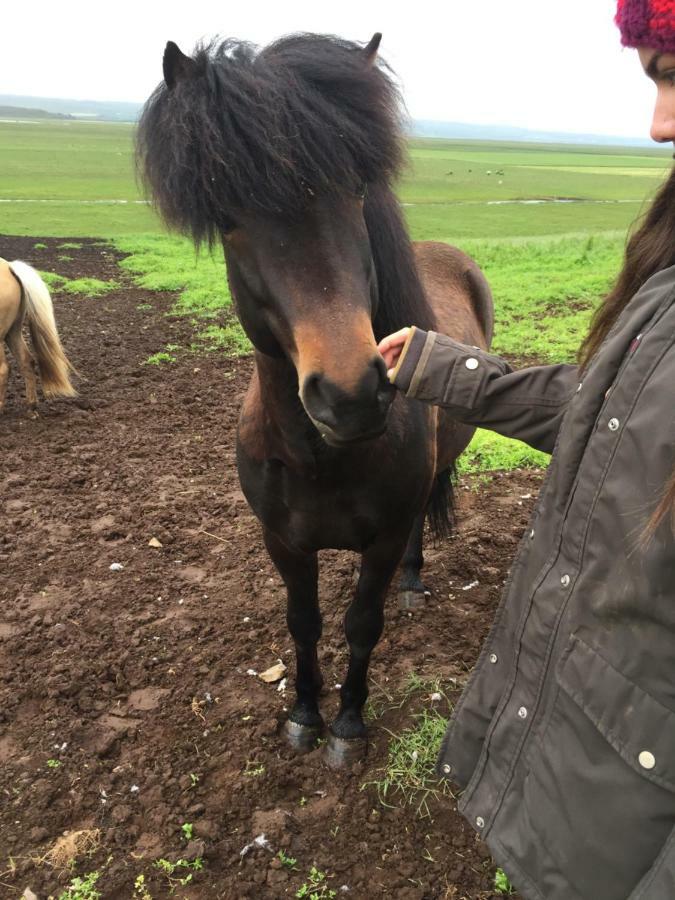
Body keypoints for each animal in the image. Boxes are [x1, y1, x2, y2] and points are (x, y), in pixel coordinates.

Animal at [139, 33, 496, 768]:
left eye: (355, 192)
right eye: (229, 219)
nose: (349, 394)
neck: (320, 458)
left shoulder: (381, 541)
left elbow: (362, 624)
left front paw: (348, 724)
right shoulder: (283, 542)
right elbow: (303, 624)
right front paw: (304, 713)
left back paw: (415, 583)